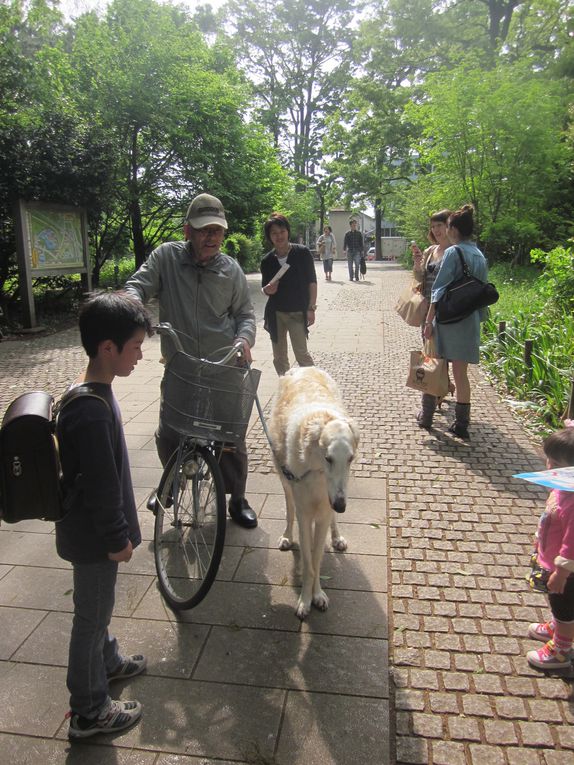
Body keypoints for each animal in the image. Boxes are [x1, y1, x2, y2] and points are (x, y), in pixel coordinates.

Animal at [270, 366, 360, 620]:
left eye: (350, 459)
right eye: (328, 458)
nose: (341, 506)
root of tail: (303, 367)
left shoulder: (325, 509)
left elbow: (317, 559)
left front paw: (317, 596)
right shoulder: (305, 513)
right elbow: (309, 562)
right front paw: (305, 601)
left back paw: (337, 537)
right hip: (284, 479)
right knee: (289, 508)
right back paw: (287, 536)